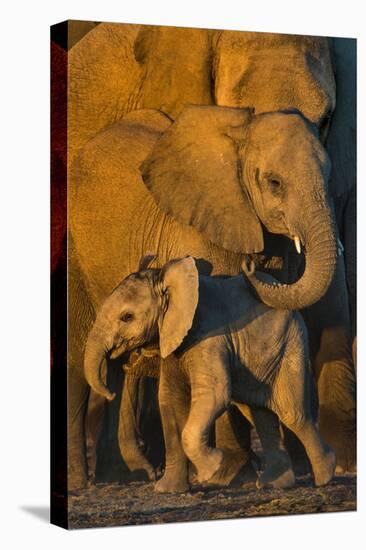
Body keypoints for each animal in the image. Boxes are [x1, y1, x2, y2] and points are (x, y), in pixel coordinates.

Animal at [84, 256, 336, 494]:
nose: (110, 393)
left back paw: (325, 475)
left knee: (292, 413)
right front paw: (168, 490)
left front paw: (212, 470)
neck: (167, 280)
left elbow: (215, 394)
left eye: (127, 317)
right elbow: (169, 400)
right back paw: (275, 483)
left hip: (291, 343)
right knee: (259, 412)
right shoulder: (172, 341)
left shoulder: (209, 336)